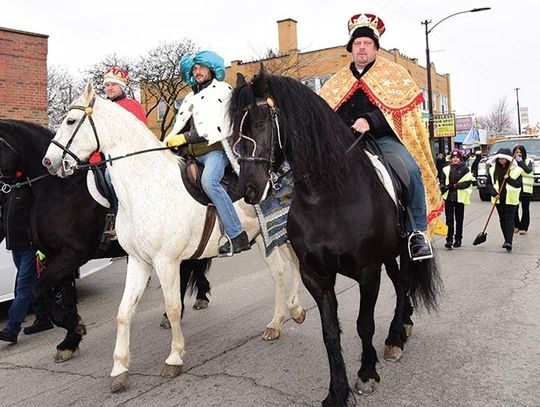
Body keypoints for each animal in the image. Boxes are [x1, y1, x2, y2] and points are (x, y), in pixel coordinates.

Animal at [0, 119, 211, 362]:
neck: (60, 191)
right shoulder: (58, 256)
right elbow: (64, 298)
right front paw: (70, 340)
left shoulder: (73, 254)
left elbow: (38, 290)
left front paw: (75, 327)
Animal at [43, 83, 304, 392]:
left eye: (71, 121)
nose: (49, 161)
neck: (146, 185)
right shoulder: (139, 261)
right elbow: (123, 312)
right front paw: (119, 368)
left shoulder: (166, 262)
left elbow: (173, 306)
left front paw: (174, 357)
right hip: (267, 239)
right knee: (284, 269)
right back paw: (283, 318)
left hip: (273, 236)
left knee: (288, 267)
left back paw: (287, 315)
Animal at [230, 73, 440, 407]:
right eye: (235, 127)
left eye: (261, 122)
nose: (248, 189)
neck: (327, 196)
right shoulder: (316, 276)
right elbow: (330, 333)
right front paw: (337, 391)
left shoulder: (368, 272)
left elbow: (364, 324)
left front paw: (366, 374)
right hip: (389, 255)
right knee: (400, 285)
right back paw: (403, 326)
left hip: (406, 250)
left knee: (405, 282)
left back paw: (395, 337)